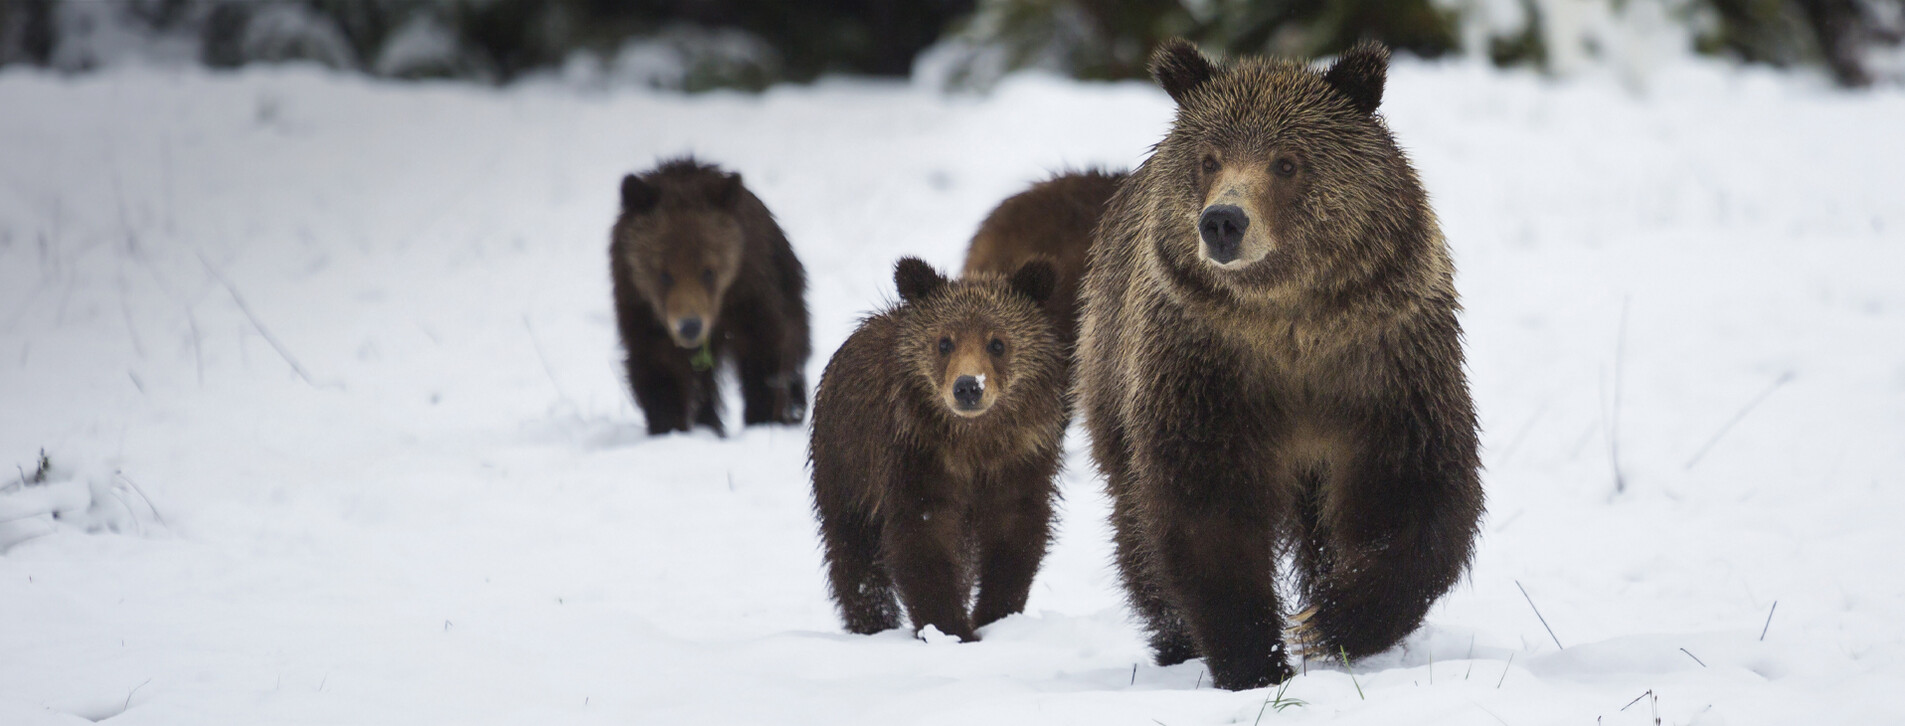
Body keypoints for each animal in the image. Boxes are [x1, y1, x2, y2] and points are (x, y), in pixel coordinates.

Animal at [609, 158, 811, 436]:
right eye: (664, 274)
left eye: (708, 271)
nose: (690, 326)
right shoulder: (640, 307)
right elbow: (659, 370)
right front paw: (669, 426)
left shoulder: (751, 295)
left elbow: (766, 353)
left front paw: (764, 417)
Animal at [807, 255, 1066, 640]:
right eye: (945, 342)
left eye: (997, 343)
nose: (969, 386)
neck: (973, 443)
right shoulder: (917, 458)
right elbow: (922, 540)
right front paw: (951, 629)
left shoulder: (1020, 460)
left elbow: (1015, 536)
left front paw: (995, 616)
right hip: (844, 461)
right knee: (852, 549)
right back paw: (872, 622)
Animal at [1082, 40, 1478, 689]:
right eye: (1210, 158)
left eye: (1287, 162)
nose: (1223, 221)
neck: (1290, 322)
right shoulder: (1208, 370)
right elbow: (1206, 513)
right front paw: (1254, 658)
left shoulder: (1385, 362)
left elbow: (1412, 492)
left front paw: (1332, 619)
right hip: (1111, 366)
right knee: (1134, 519)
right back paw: (1173, 638)